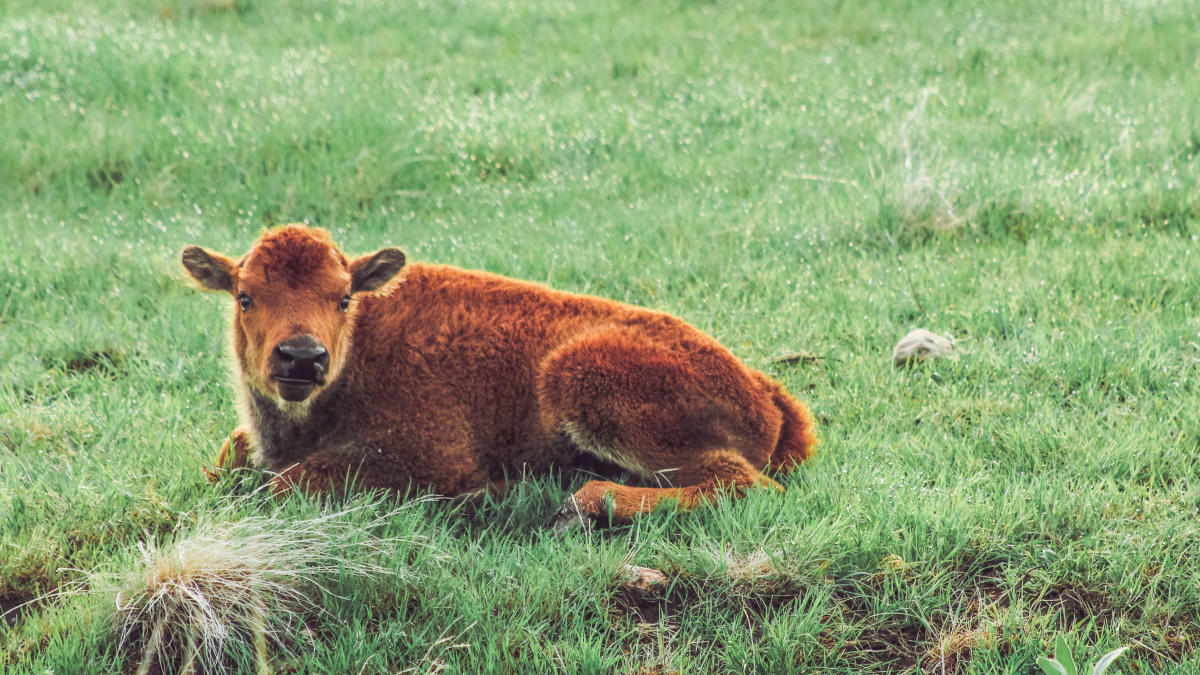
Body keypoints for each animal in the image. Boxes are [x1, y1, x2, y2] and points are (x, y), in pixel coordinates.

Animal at [182, 224, 817, 530]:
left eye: (342, 299)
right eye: (245, 296)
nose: (301, 358)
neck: (359, 352)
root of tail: (766, 396)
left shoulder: (432, 459)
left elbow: (287, 482)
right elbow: (229, 458)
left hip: (578, 376)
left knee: (744, 483)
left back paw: (582, 506)